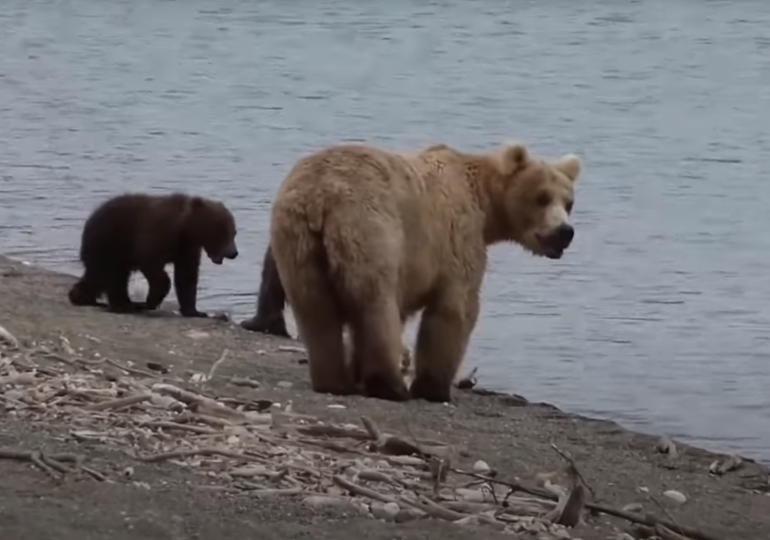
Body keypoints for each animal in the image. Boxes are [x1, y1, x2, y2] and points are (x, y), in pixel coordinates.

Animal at [68, 192, 238, 316]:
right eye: (223, 231)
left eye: (234, 232)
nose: (233, 252)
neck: (184, 229)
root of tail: (90, 218)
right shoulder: (156, 235)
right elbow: (152, 264)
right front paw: (150, 301)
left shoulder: (187, 248)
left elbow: (186, 276)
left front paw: (194, 311)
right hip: (108, 243)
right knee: (107, 274)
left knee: (110, 277)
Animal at [268, 141, 576, 402]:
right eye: (542, 198)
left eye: (569, 202)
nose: (564, 232)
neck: (486, 207)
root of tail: (320, 196)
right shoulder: (456, 240)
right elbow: (455, 309)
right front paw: (433, 388)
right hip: (371, 228)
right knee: (376, 305)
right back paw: (389, 385)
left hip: (297, 242)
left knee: (315, 309)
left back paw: (334, 381)